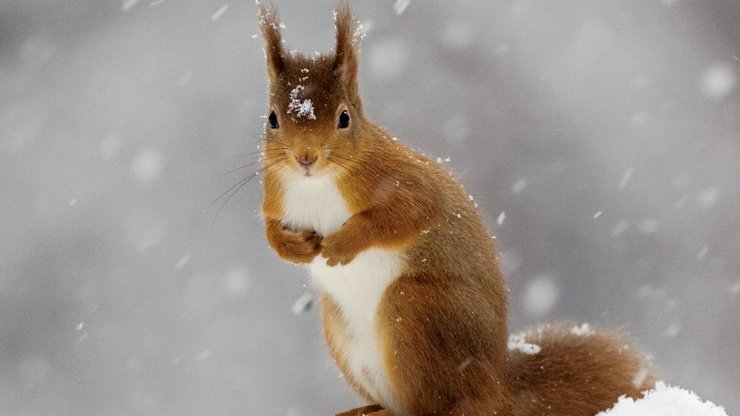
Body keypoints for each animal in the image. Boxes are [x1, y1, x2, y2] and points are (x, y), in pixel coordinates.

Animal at [258, 3, 656, 416]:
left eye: (344, 118)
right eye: (272, 118)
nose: (306, 158)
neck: (315, 184)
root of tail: (499, 388)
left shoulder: (402, 182)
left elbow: (407, 214)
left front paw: (343, 243)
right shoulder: (275, 196)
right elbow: (270, 229)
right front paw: (294, 247)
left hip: (417, 310)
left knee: (439, 403)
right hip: (338, 327)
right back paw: (365, 409)